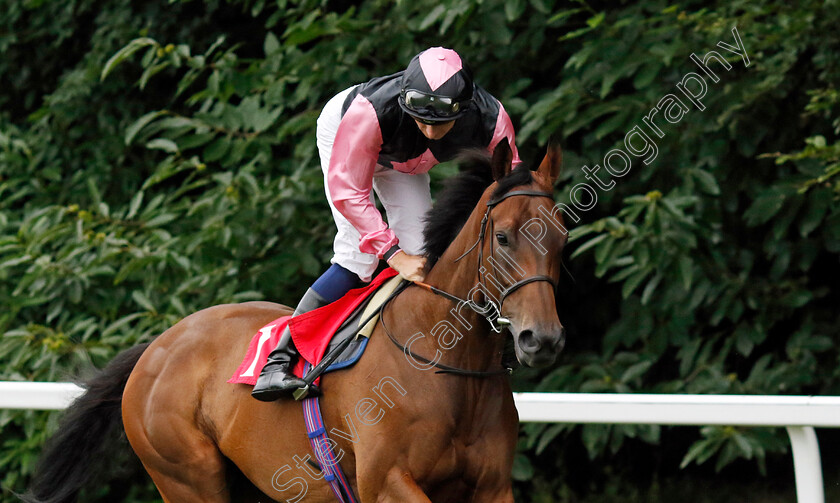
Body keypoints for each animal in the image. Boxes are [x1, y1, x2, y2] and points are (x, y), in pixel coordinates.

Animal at [23, 139, 568, 503]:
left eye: (562, 236)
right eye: (503, 237)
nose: (540, 339)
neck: (446, 362)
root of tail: (156, 348)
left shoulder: (492, 487)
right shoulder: (387, 482)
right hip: (186, 475)